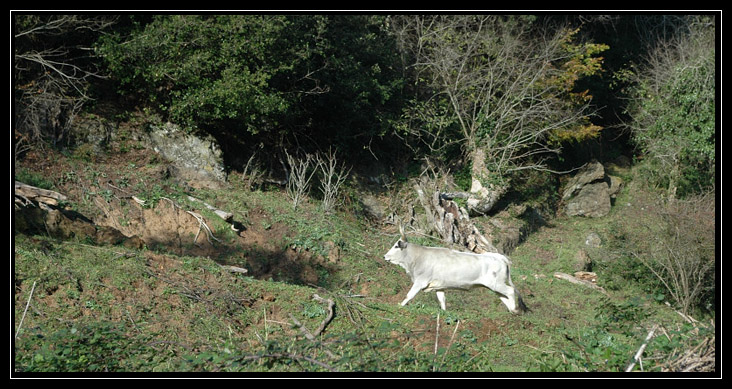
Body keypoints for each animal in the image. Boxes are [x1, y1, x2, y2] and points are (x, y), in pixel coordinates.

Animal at [384, 235, 528, 314]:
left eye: (396, 246)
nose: (385, 256)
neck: (418, 257)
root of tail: (500, 256)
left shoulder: (420, 281)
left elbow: (409, 295)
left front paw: (399, 306)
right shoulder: (439, 286)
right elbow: (442, 300)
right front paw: (444, 312)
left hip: (497, 284)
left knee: (510, 291)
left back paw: (515, 309)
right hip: (495, 287)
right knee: (504, 297)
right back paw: (512, 311)